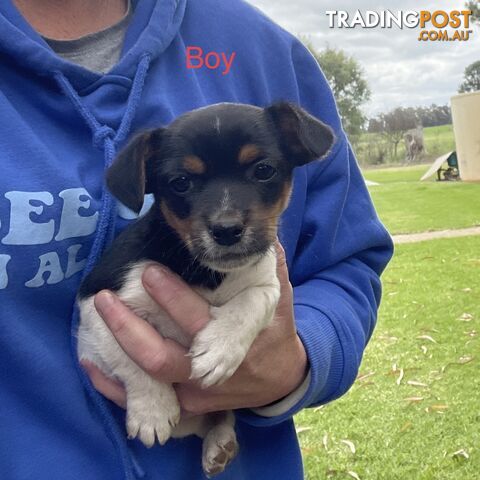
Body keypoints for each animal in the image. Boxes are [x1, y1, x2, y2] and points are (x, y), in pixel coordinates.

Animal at [79, 102, 334, 476]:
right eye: (181, 182)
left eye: (263, 170)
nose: (227, 229)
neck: (207, 272)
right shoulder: (99, 302)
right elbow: (130, 361)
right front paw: (153, 410)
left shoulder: (267, 282)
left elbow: (250, 303)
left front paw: (219, 349)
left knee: (222, 416)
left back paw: (219, 444)